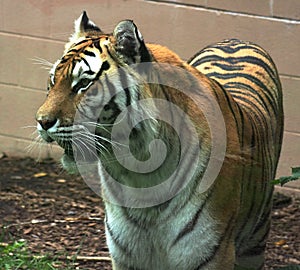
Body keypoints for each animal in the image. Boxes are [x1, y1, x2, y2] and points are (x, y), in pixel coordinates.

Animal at [35, 11, 284, 270]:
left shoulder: (210, 253)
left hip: (255, 242)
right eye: (52, 81)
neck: (139, 176)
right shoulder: (126, 256)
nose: (42, 121)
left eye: (84, 84)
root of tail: (236, 39)